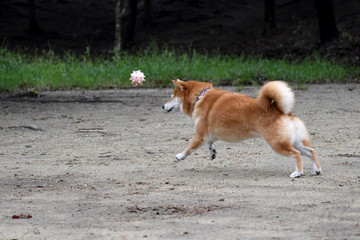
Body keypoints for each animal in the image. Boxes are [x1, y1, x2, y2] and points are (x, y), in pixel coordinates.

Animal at [162, 79, 322, 178]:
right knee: (310, 151)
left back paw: (298, 173)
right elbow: (210, 144)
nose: (163, 106)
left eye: (172, 96)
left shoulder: (200, 135)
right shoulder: (208, 135)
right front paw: (212, 153)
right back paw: (317, 170)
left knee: (296, 154)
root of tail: (282, 112)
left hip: (277, 144)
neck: (199, 97)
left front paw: (180, 156)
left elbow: (189, 148)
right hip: (295, 142)